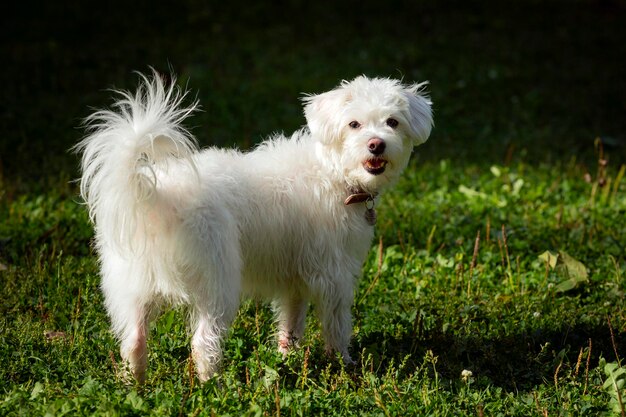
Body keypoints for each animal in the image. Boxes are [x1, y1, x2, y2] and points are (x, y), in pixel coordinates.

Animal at [74, 70, 428, 380]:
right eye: (353, 124)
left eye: (392, 122)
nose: (376, 144)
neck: (333, 172)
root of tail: (157, 197)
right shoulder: (333, 276)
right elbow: (337, 326)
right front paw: (344, 366)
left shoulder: (295, 280)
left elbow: (291, 324)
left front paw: (286, 358)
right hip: (218, 286)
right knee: (202, 343)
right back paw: (214, 387)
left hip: (131, 288)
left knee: (134, 341)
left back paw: (134, 386)